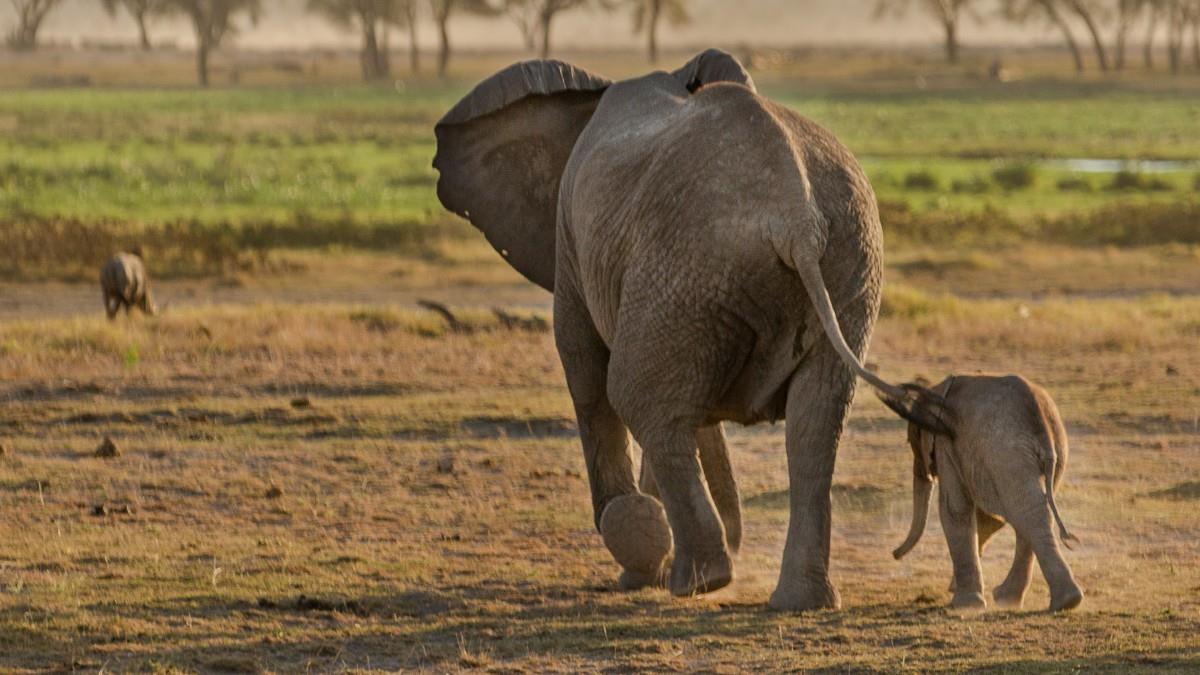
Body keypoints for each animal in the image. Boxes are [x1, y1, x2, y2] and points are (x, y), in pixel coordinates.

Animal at [436, 51, 940, 610]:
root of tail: (797, 219)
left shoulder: (572, 235)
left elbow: (586, 372)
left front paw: (638, 566)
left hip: (691, 272)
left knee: (640, 397)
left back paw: (700, 580)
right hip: (830, 267)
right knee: (815, 421)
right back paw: (794, 599)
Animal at [892, 372, 1089, 610]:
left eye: (911, 440)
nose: (895, 554)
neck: (938, 390)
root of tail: (1042, 425)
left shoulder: (946, 444)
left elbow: (954, 509)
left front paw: (965, 604)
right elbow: (990, 517)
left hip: (1006, 453)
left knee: (1025, 512)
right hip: (1052, 454)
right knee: (1031, 512)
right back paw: (1040, 600)